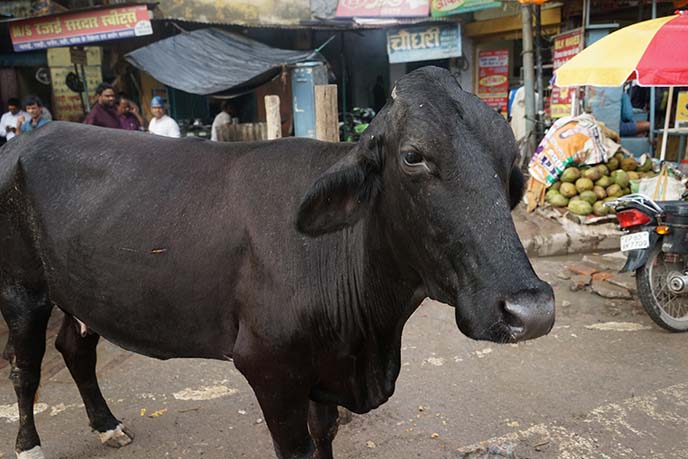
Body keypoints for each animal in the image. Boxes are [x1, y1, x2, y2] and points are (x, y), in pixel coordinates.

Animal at [0, 67, 552, 459]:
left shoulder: (322, 374)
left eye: (510, 160)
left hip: (82, 291)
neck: (371, 334)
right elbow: (298, 447)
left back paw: (107, 425)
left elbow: (325, 435)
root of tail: (27, 137)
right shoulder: (269, 368)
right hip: (21, 291)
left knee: (74, 348)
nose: (531, 310)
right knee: (25, 369)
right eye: (413, 156)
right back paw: (30, 446)